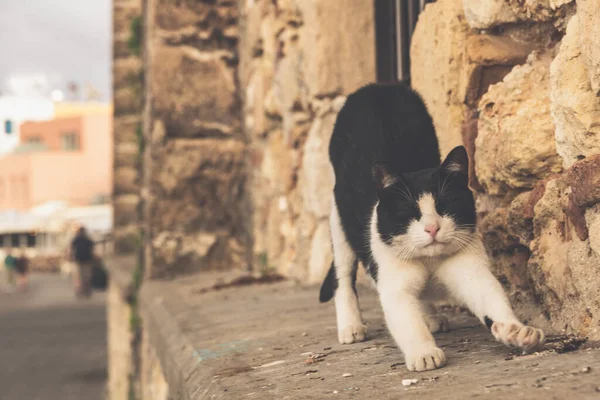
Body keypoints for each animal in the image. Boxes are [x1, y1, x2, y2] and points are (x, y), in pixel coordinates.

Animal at [322, 83, 548, 372]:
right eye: (410, 213)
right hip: (337, 217)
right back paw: (351, 326)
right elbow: (406, 320)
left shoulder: (472, 270)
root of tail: (376, 86)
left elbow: (491, 297)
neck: (428, 261)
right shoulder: (392, 279)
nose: (432, 228)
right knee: (342, 275)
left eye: (444, 206)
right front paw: (424, 352)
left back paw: (431, 317)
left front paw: (516, 330)